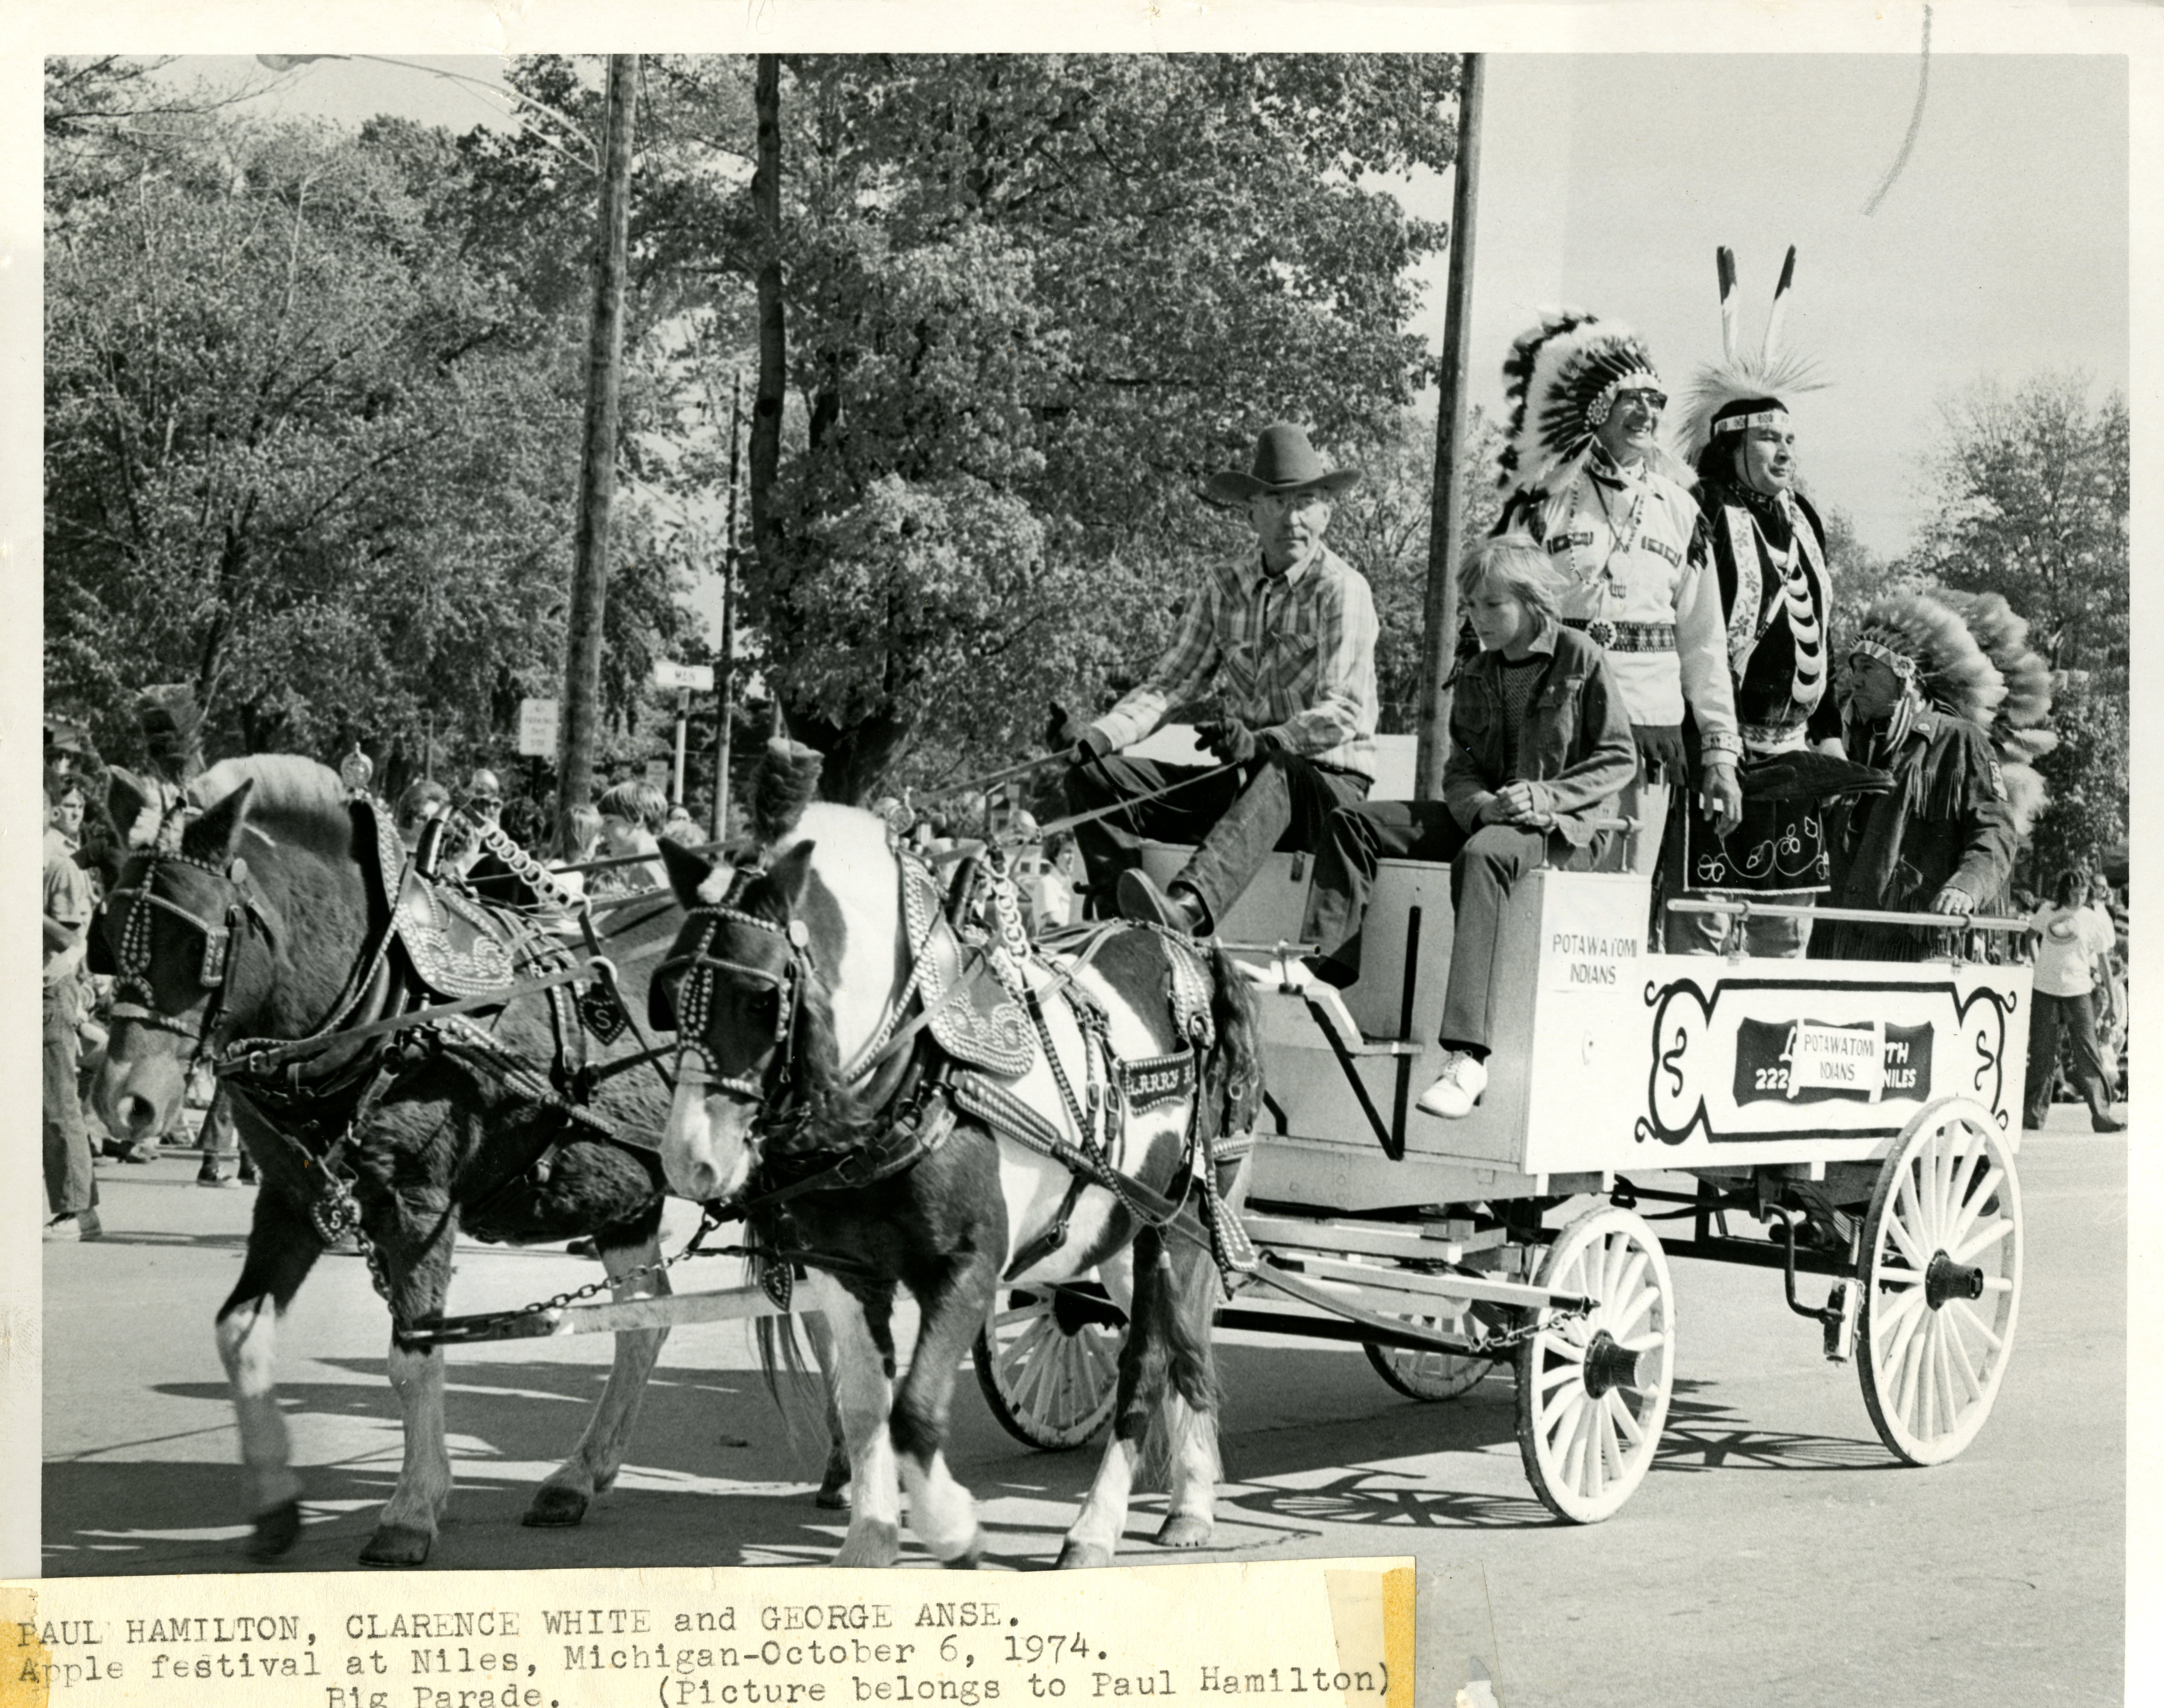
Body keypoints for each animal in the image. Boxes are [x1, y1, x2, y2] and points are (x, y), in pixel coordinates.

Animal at [658, 779, 1263, 1567]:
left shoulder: (969, 1269)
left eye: (763, 998)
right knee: (1184, 1346)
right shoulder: (849, 1272)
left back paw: (1100, 1525)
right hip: (1120, 1237)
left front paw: (951, 1526)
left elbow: (915, 1410)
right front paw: (869, 1540)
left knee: (1150, 1363)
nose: (690, 1159)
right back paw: (1190, 1498)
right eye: (668, 992)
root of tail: (1186, 944)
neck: (923, 1074)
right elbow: (867, 1407)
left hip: (1180, 1226)